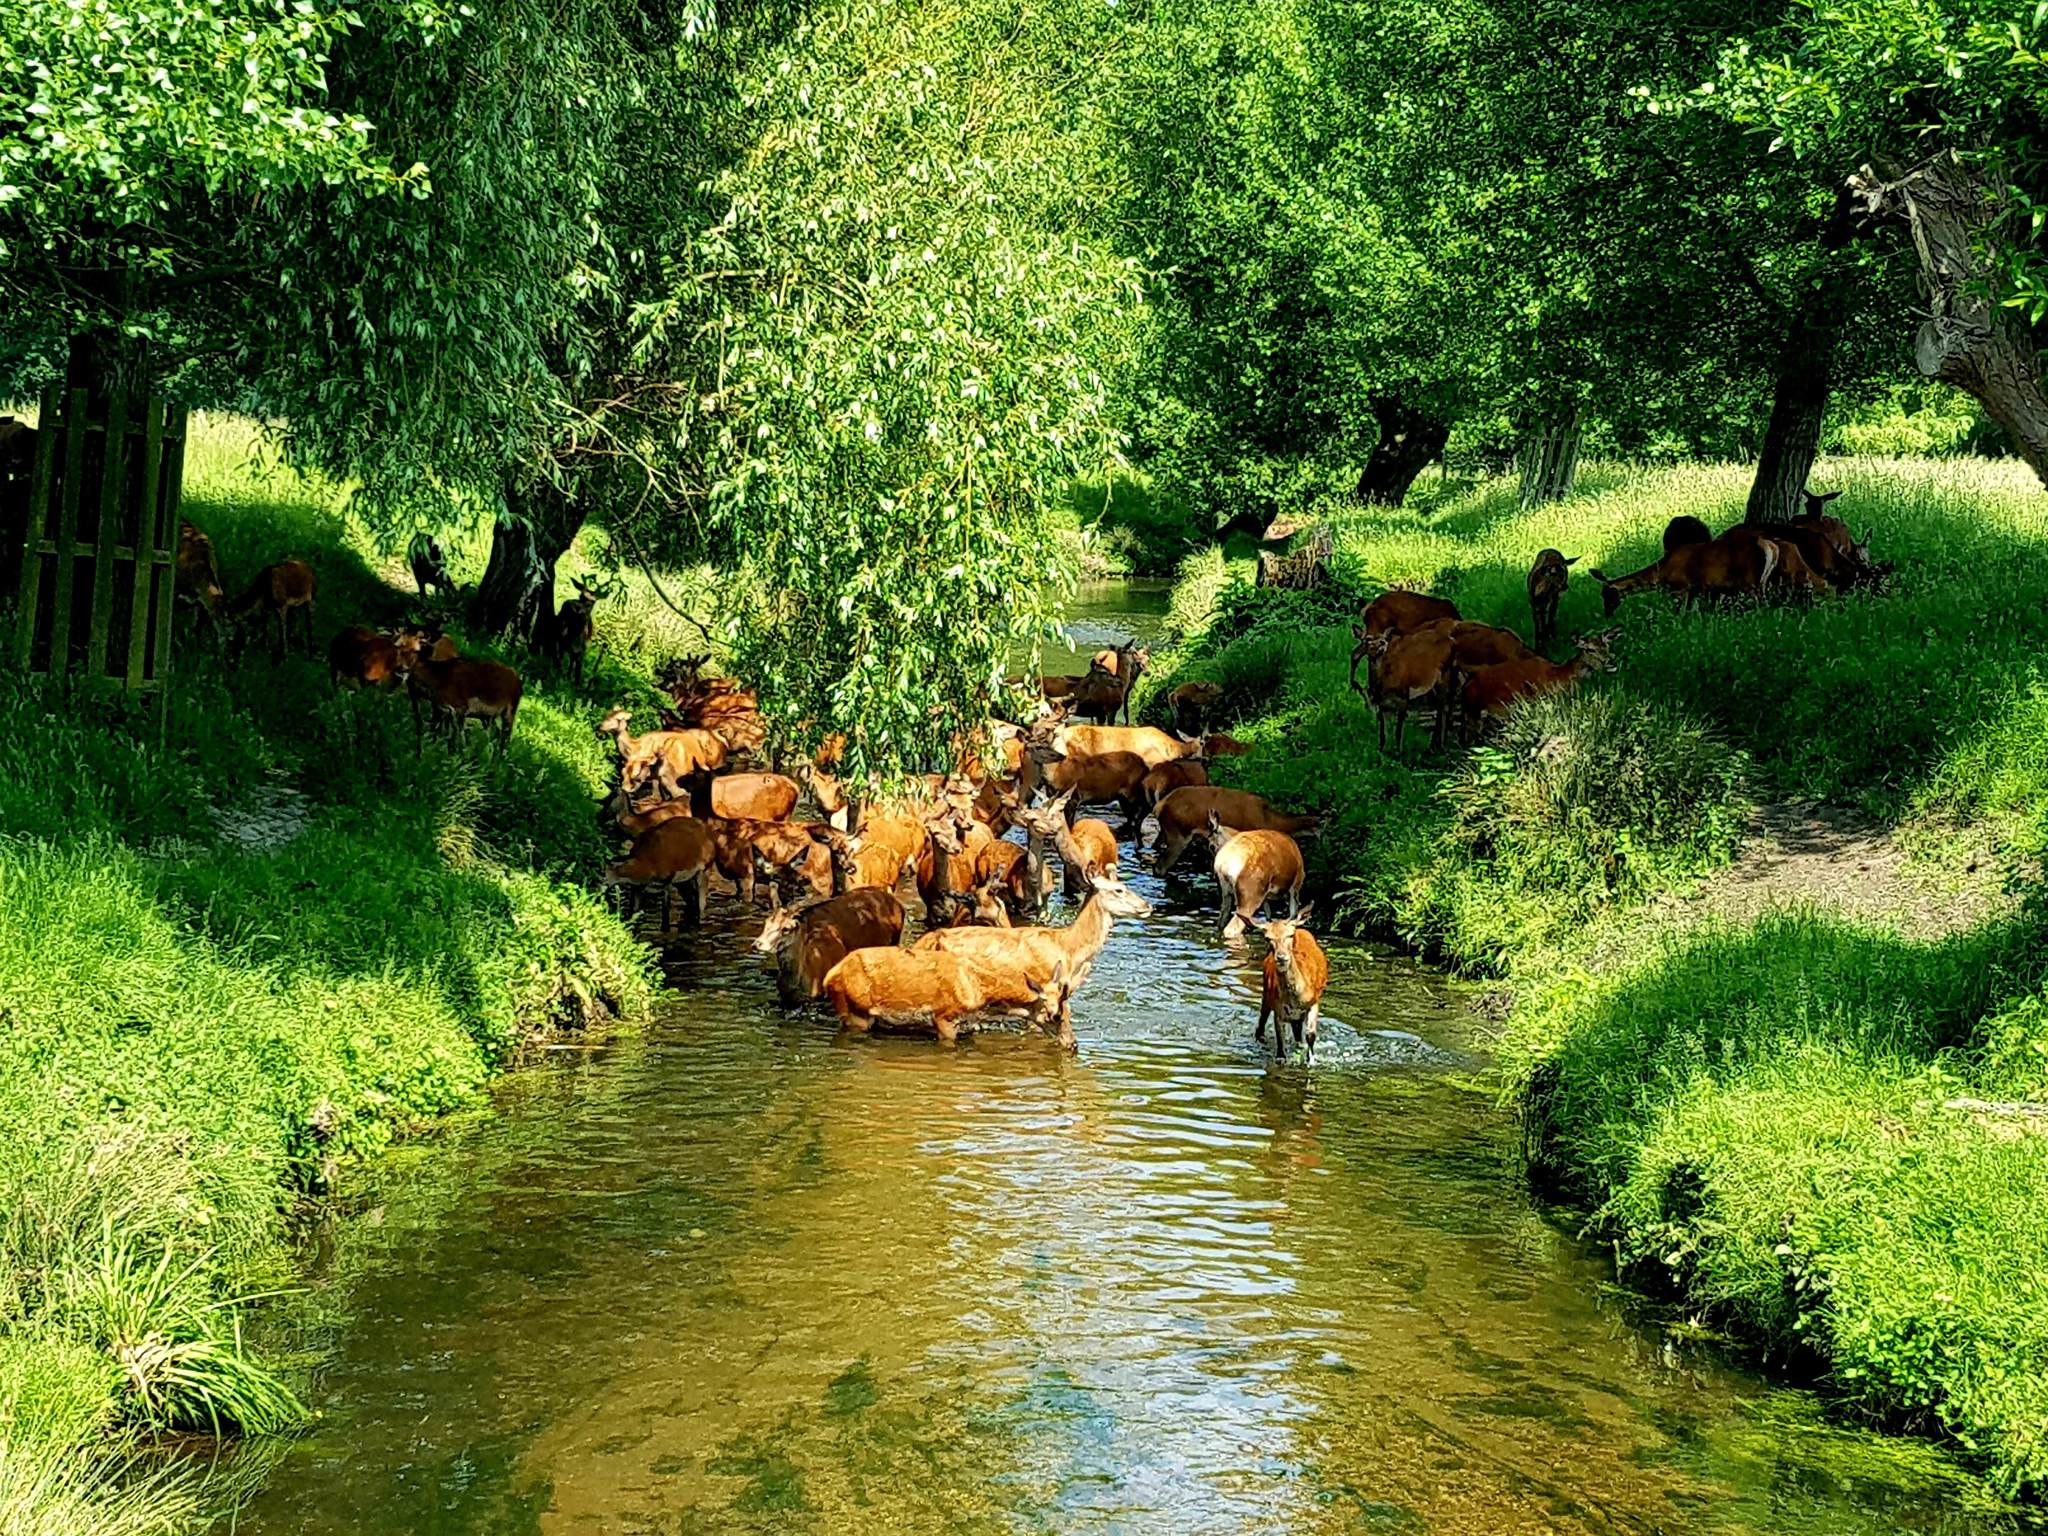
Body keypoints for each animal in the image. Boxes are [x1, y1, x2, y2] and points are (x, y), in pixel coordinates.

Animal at [1155, 794, 1327, 876]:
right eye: (1322, 828)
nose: (1325, 849)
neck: (1270, 820)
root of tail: (1160, 806)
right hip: (1177, 835)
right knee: (1160, 867)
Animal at [1196, 811, 1310, 946]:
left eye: (1211, 846)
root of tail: (1223, 863)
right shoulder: (1296, 885)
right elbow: (1293, 917)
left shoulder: (1267, 897)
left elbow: (1269, 917)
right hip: (1250, 892)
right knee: (1232, 928)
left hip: (1227, 893)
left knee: (1221, 922)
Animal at [1253, 909, 1335, 1064]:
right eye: (1267, 938)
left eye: (1290, 934)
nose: (1281, 957)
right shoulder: (1278, 1008)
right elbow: (1280, 1043)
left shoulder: (1314, 1001)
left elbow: (1310, 1034)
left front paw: (1311, 1060)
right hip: (1266, 993)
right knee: (1261, 1023)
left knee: (1297, 1030)